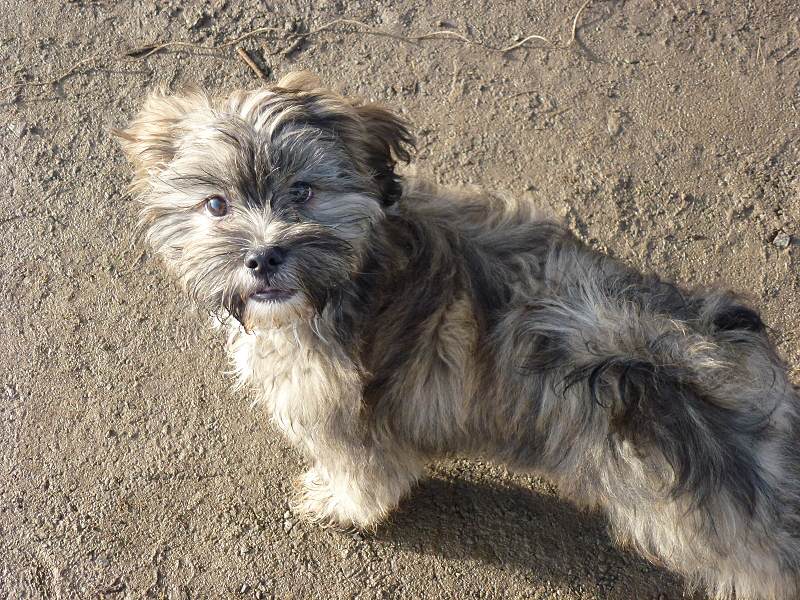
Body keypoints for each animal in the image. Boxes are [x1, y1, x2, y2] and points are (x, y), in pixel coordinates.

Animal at [117, 71, 800, 600]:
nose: (262, 257)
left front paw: (339, 503)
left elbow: (363, 479)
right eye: (215, 205)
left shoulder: (344, 419)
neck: (356, 271)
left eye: (303, 192)